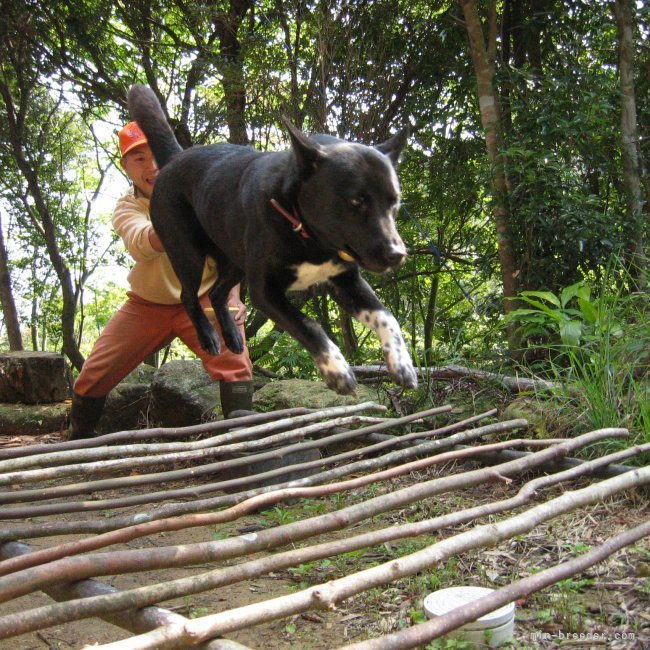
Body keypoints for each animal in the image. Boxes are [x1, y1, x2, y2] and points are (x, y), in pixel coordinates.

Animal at [129, 83, 418, 392]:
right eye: (356, 202)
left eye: (394, 202)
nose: (397, 254)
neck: (311, 238)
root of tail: (175, 159)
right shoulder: (265, 292)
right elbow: (309, 324)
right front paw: (337, 369)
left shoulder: (347, 282)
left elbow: (387, 316)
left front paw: (401, 363)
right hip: (187, 253)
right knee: (188, 296)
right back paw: (209, 336)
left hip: (235, 261)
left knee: (217, 293)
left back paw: (232, 336)